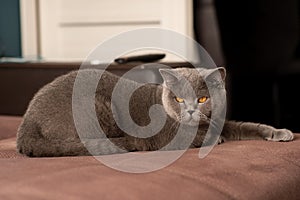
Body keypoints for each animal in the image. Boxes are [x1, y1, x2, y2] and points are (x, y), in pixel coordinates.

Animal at [15, 67, 292, 156]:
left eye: (203, 98)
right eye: (178, 98)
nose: (190, 111)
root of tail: (26, 123)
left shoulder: (218, 120)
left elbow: (248, 126)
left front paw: (281, 133)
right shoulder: (168, 138)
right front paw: (217, 139)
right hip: (97, 106)